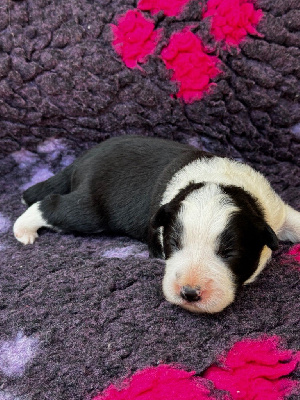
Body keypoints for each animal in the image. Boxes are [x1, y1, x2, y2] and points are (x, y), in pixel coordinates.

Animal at [12, 136, 300, 314]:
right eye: (173, 243)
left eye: (229, 253)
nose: (189, 293)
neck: (222, 180)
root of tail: (82, 159)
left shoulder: (275, 210)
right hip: (92, 209)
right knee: (52, 204)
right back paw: (23, 229)